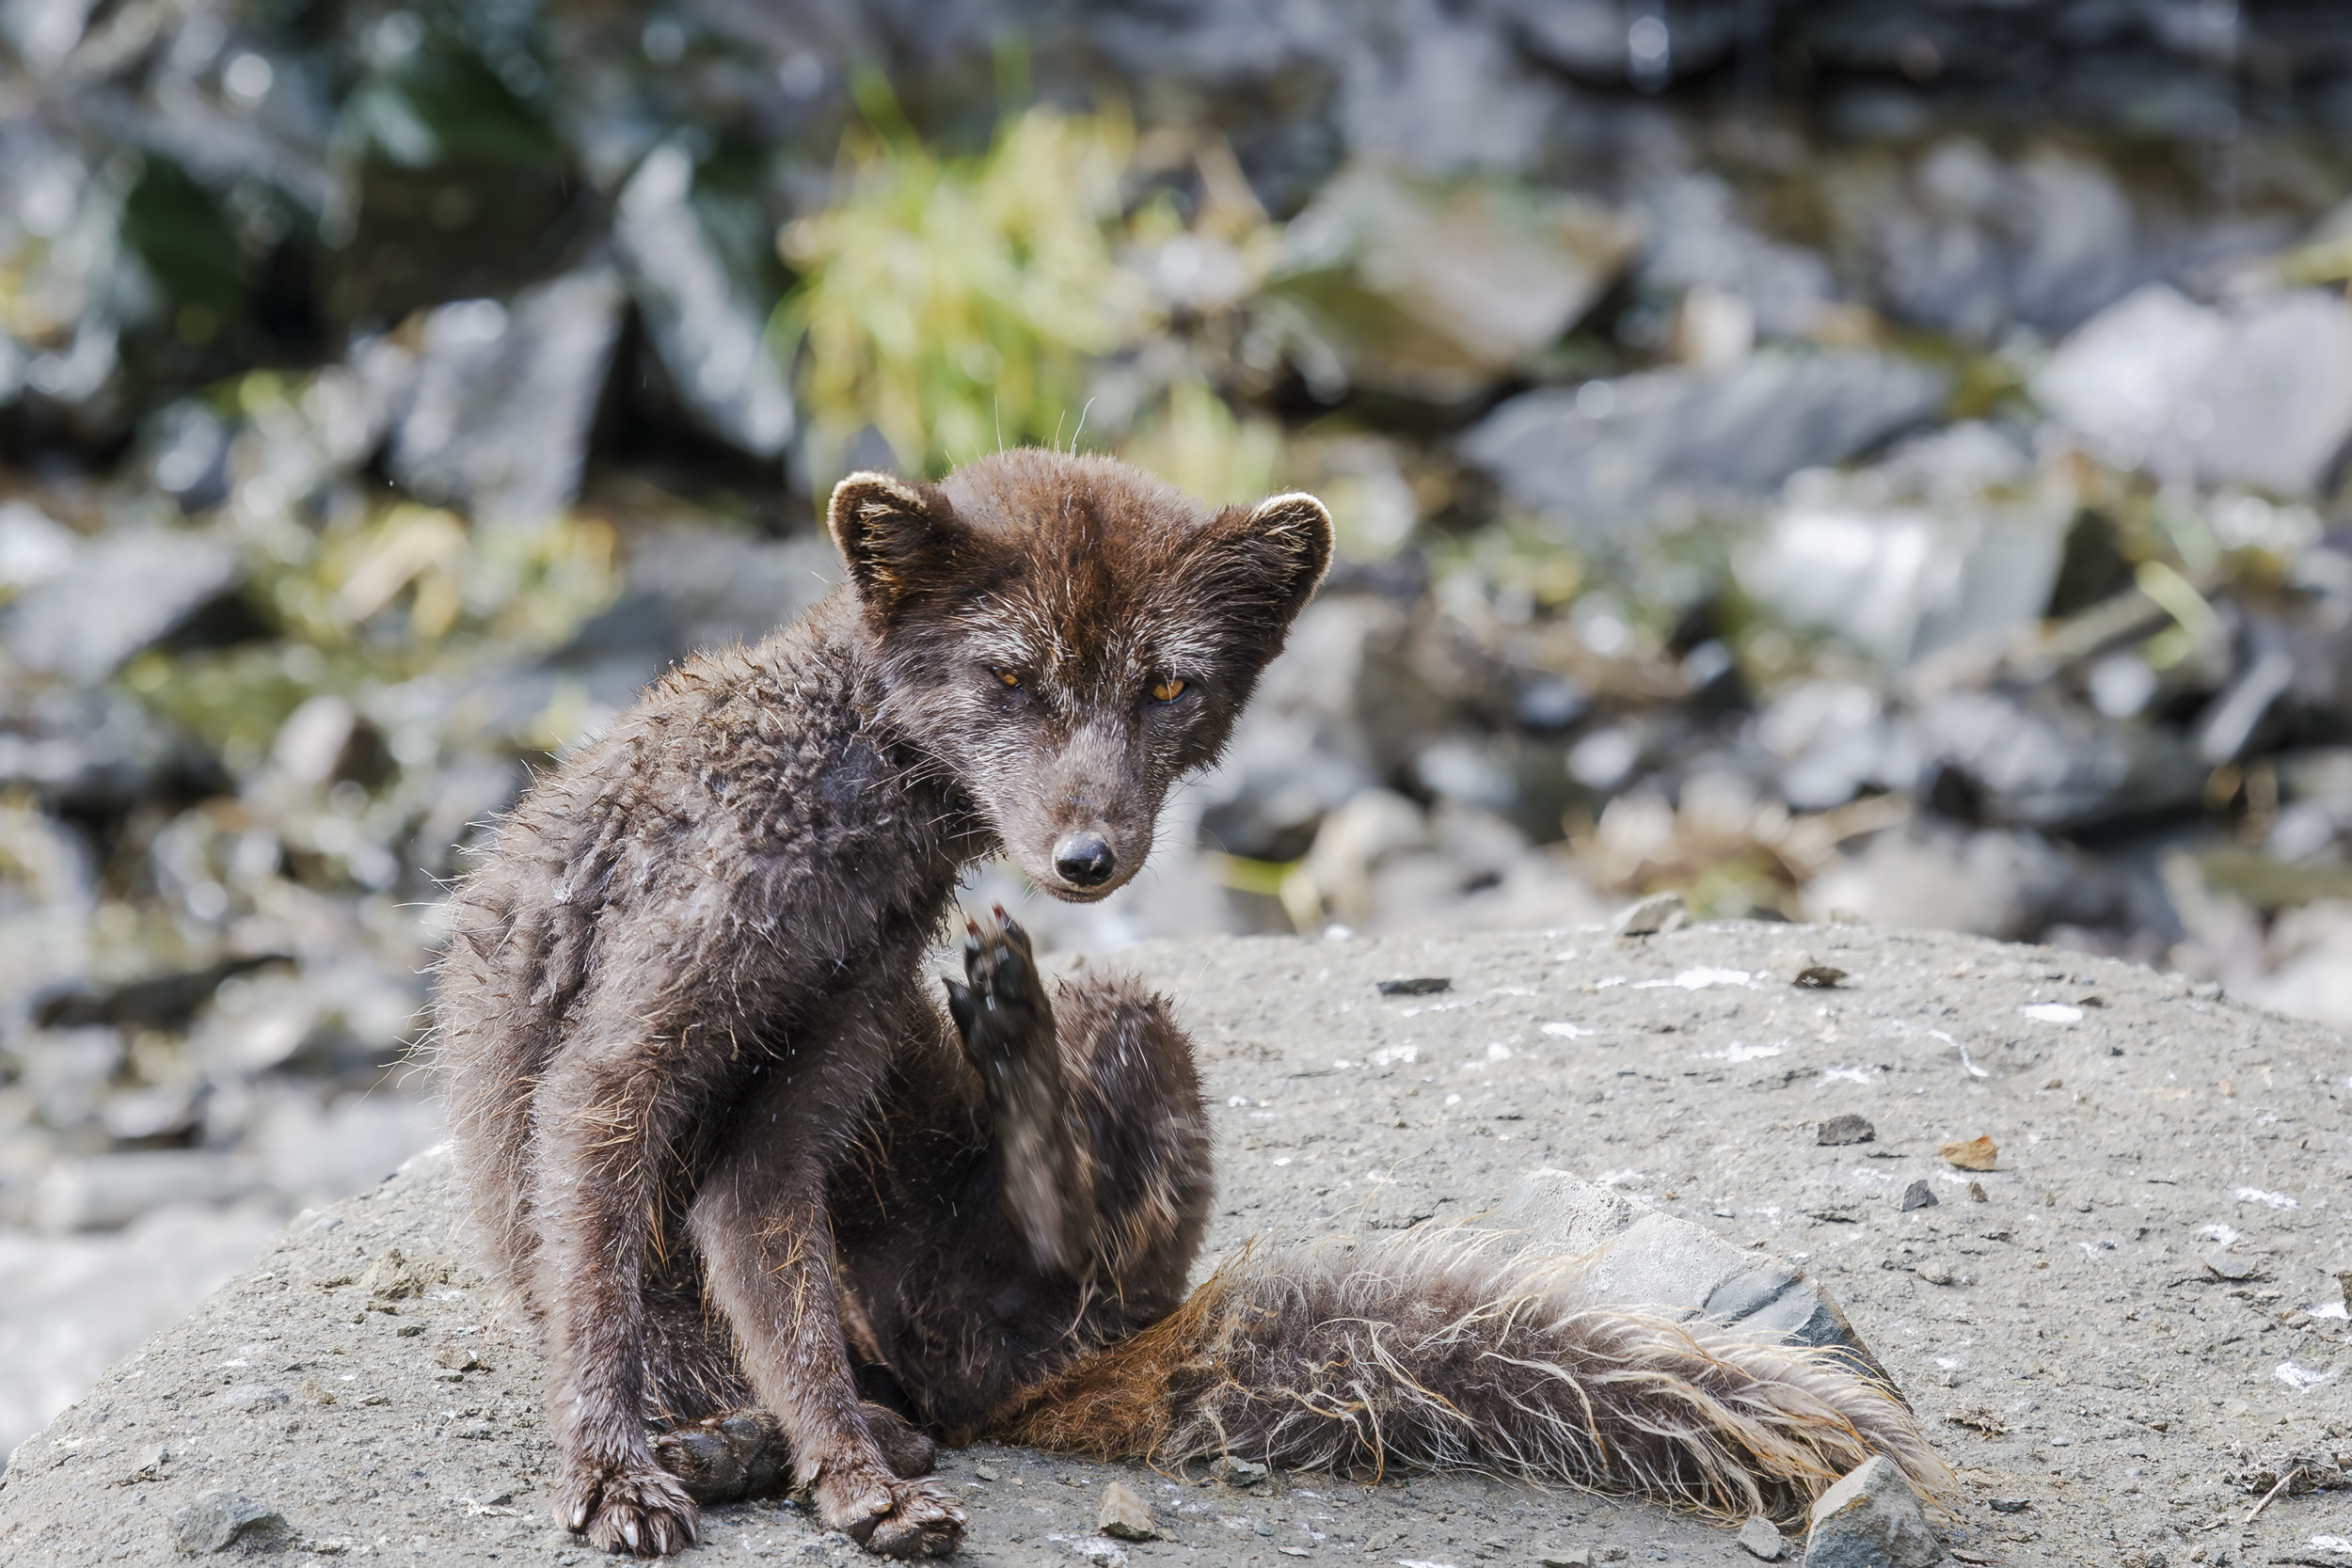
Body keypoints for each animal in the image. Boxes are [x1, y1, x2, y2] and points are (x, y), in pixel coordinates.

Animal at [433, 446, 1938, 1560]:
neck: (844, 805)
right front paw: (617, 1473)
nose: (1085, 858)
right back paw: (736, 1436)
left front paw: (852, 1477)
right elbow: (606, 1271)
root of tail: (1023, 1365)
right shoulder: (642, 1031)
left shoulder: (817, 1060)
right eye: (1008, 675)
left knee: (1066, 1254)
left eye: (1168, 683)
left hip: (1131, 1016)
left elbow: (786, 1300)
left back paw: (1004, 1053)